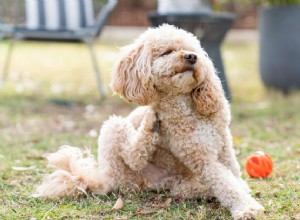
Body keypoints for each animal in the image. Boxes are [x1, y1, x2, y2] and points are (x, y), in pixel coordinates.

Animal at [35, 24, 264, 220]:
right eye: (167, 52)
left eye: (192, 50)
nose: (191, 57)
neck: (187, 106)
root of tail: (103, 178)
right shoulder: (201, 158)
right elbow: (226, 184)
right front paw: (247, 208)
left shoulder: (223, 142)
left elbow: (233, 173)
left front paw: (244, 193)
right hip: (115, 132)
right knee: (132, 157)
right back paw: (148, 126)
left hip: (176, 177)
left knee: (183, 189)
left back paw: (205, 191)